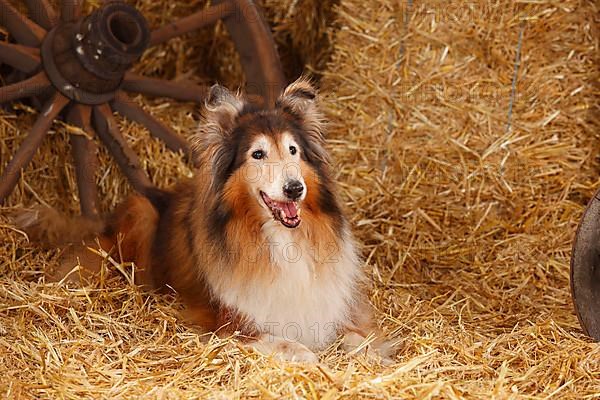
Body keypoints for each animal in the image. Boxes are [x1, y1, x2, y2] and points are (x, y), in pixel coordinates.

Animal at [14, 77, 394, 362]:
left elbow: (359, 338)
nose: (294, 189)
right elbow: (290, 345)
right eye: (258, 154)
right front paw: (310, 356)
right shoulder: (231, 323)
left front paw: (373, 355)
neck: (281, 240)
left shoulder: (336, 306)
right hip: (141, 211)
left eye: (293, 151)